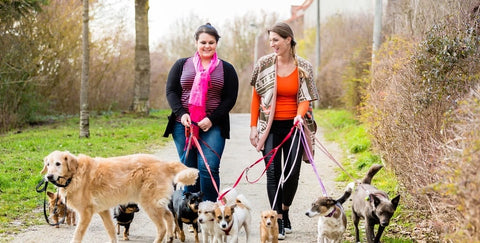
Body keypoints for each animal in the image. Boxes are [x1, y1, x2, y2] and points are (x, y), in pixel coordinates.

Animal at [41, 150, 198, 243]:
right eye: (48, 164)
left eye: (58, 164)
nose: (48, 177)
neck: (75, 174)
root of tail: (165, 164)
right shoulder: (103, 211)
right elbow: (111, 231)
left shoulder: (86, 213)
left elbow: (77, 235)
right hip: (155, 204)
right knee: (169, 216)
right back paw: (170, 237)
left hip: (149, 205)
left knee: (162, 228)